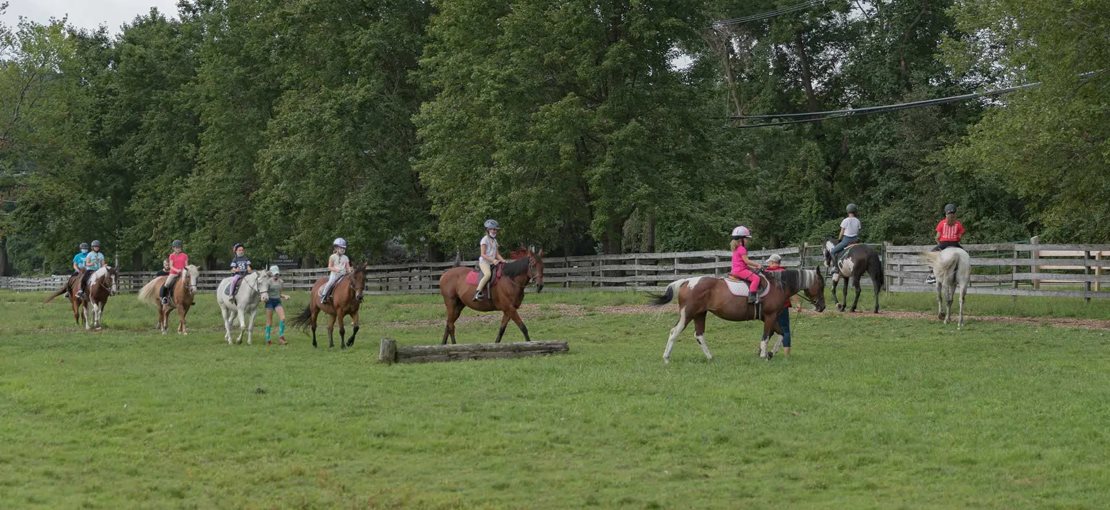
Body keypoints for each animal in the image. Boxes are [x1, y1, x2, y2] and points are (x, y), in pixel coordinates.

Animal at [648, 271, 825, 364]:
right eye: (821, 285)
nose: (822, 307)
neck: (778, 286)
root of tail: (687, 281)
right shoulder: (770, 316)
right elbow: (766, 336)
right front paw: (764, 355)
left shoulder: (770, 317)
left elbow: (781, 334)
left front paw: (770, 353)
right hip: (688, 314)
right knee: (675, 332)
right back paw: (666, 358)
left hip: (700, 314)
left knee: (699, 335)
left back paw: (710, 357)